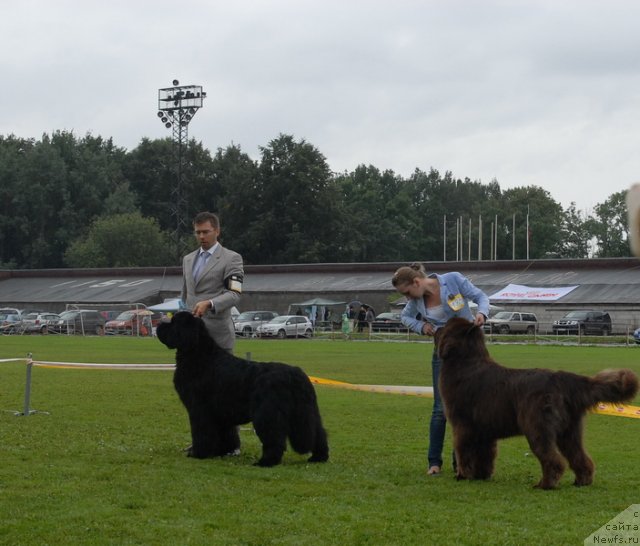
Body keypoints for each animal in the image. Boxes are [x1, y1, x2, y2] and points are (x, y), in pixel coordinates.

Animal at [157, 310, 330, 464]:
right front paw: (222, 452)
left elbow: (202, 432)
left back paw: (266, 462)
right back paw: (318, 457)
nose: (159, 324)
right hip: (306, 411)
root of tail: (295, 374)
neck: (198, 355)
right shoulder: (221, 413)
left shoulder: (199, 409)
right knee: (318, 432)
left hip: (267, 413)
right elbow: (225, 433)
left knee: (274, 437)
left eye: (173, 323)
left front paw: (199, 453)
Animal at [432, 316, 636, 486]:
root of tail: (559, 379)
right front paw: (481, 476)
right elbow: (485, 455)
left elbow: (463, 451)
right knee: (579, 456)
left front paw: (462, 475)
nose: (435, 328)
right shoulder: (484, 430)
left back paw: (545, 484)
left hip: (537, 426)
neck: (465, 363)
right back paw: (581, 481)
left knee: (553, 460)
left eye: (445, 328)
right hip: (569, 431)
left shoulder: (462, 424)